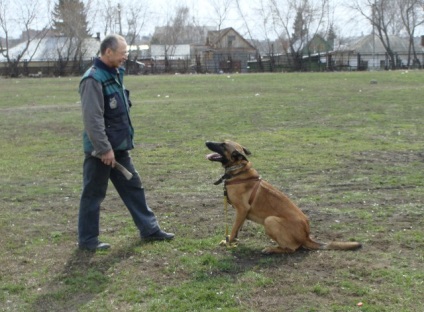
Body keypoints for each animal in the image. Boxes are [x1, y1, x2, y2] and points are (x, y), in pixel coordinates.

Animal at [205, 140, 362, 255]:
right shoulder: (241, 214)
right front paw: (232, 242)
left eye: (223, 145)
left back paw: (271, 249)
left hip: (270, 221)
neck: (238, 171)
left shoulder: (242, 209)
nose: (206, 141)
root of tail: (307, 236)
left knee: (292, 248)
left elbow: (232, 230)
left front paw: (228, 243)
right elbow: (237, 229)